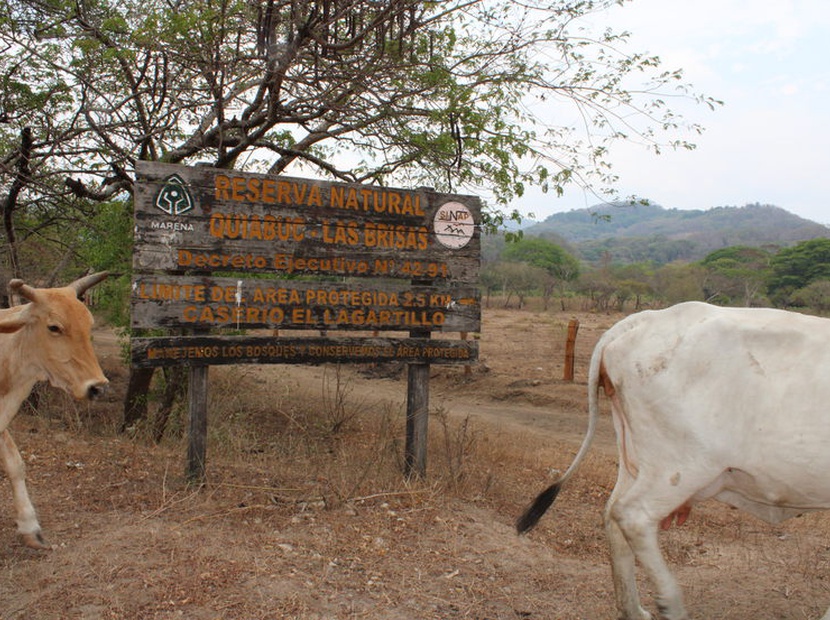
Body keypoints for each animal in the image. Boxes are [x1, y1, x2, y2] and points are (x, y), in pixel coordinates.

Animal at [524, 302, 830, 620]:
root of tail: (649, 317)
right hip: (681, 468)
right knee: (632, 515)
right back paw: (670, 604)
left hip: (638, 462)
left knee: (612, 516)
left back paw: (634, 610)